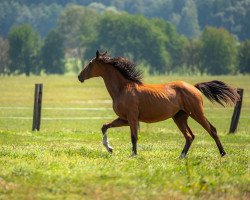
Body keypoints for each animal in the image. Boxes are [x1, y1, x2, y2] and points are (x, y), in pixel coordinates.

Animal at [78, 51, 240, 158]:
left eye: (90, 63)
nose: (79, 76)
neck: (123, 88)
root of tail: (194, 87)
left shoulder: (132, 117)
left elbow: (133, 136)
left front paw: (133, 155)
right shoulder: (124, 119)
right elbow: (105, 126)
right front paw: (110, 148)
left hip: (197, 113)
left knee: (211, 130)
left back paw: (223, 154)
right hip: (179, 117)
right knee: (190, 136)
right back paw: (181, 156)